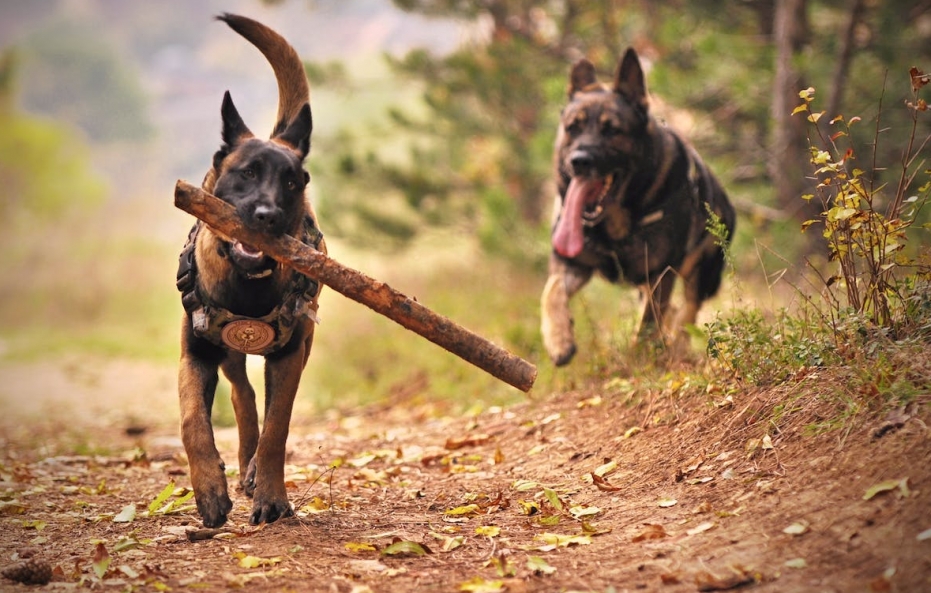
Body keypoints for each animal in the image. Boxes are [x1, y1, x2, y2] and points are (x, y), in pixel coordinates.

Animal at [177, 13, 326, 524]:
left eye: (292, 182)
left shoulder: (289, 356)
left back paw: (255, 473)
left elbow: (277, 429)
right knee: (242, 396)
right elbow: (193, 421)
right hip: (227, 354)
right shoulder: (196, 353)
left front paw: (272, 496)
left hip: (303, 344)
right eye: (247, 173)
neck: (247, 285)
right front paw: (208, 489)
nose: (268, 217)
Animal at [540, 48, 736, 366]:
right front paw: (559, 339)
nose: (579, 161)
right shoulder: (571, 264)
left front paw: (641, 358)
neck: (614, 224)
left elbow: (647, 324)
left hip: (702, 275)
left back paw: (677, 347)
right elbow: (552, 291)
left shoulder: (660, 273)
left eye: (612, 130)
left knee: (687, 313)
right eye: (573, 128)